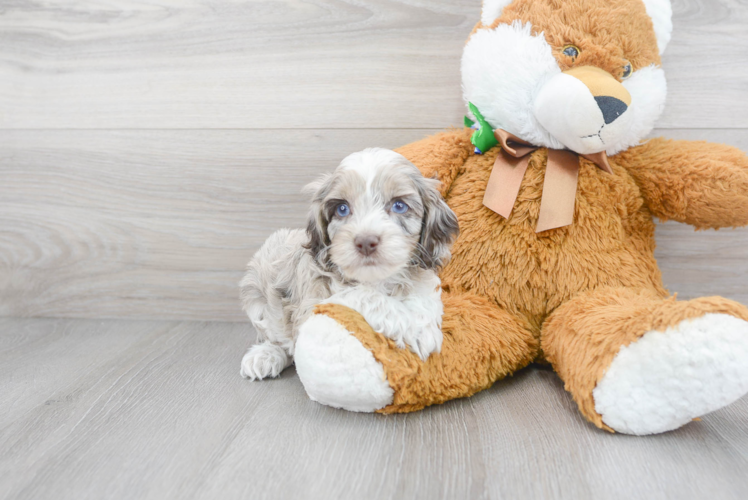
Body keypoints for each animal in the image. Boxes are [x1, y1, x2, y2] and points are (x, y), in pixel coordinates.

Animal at [243, 146, 458, 380]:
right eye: (342, 209)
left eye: (399, 205)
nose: (365, 242)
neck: (378, 279)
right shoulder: (315, 301)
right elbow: (365, 296)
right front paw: (414, 329)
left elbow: (425, 295)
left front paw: (423, 325)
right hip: (258, 289)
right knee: (273, 336)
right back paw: (265, 356)